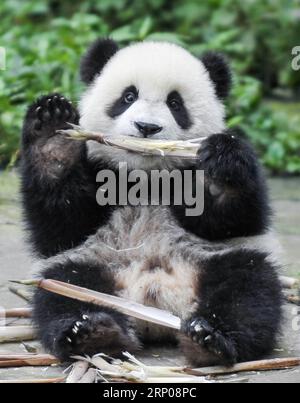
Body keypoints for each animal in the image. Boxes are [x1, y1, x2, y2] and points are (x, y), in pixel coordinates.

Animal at [21, 39, 284, 368]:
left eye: (175, 103)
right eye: (128, 96)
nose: (146, 127)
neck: (145, 176)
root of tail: (154, 299)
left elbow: (233, 220)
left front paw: (220, 165)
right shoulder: (97, 179)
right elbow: (62, 226)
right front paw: (53, 135)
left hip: (214, 259)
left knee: (249, 287)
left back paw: (209, 339)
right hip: (93, 263)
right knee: (64, 290)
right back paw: (94, 334)